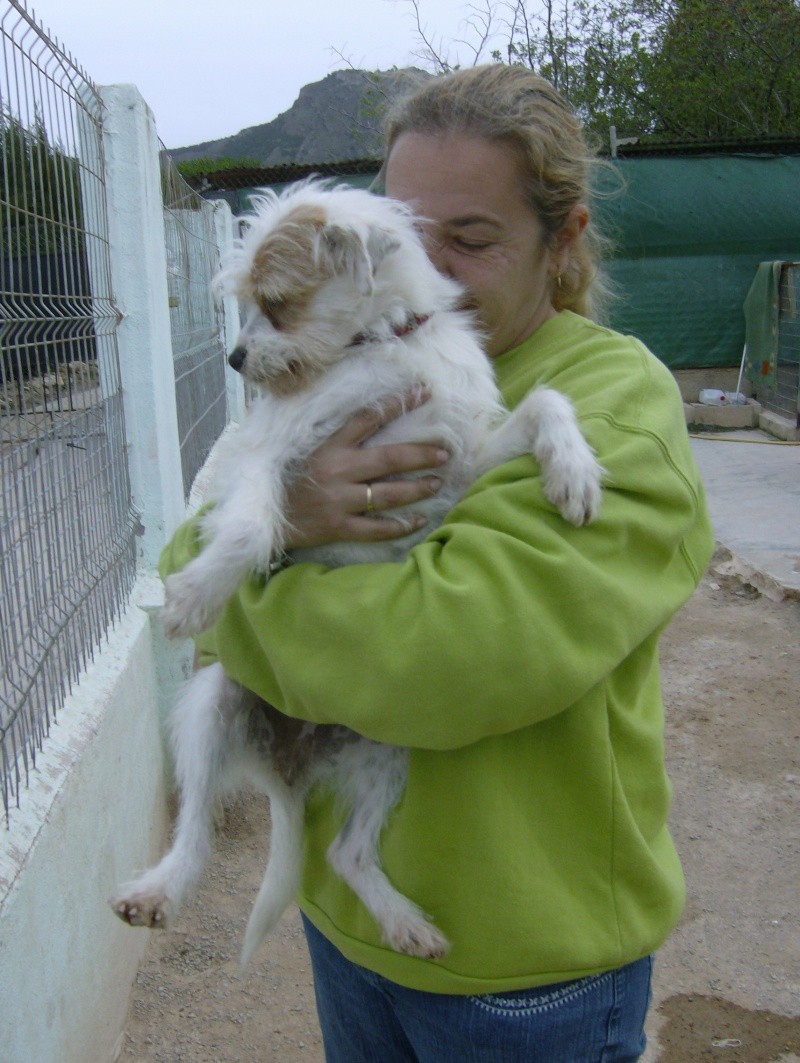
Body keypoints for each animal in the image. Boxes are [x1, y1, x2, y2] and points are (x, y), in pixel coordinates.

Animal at [109, 180, 603, 965]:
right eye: (245, 301)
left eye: (277, 301)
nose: (236, 358)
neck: (385, 347)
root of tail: (288, 767)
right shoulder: (271, 458)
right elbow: (252, 524)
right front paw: (195, 594)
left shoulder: (462, 462)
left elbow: (547, 400)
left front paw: (575, 472)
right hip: (208, 712)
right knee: (195, 830)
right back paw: (158, 890)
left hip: (392, 747)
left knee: (346, 852)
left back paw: (403, 920)